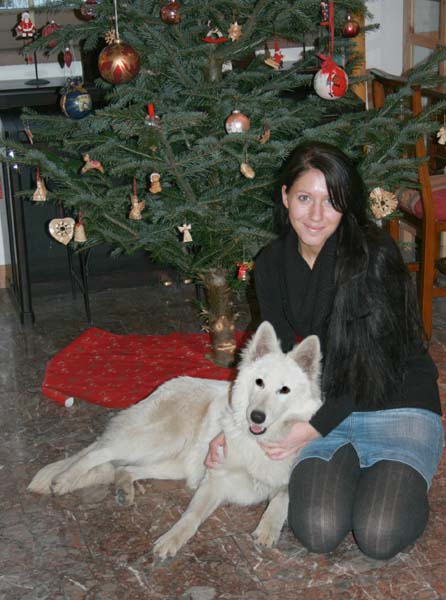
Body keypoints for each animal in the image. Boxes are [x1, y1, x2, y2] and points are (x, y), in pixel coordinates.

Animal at [28, 321, 322, 559]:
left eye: (284, 390)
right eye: (259, 382)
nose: (257, 416)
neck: (259, 443)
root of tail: (162, 387)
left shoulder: (283, 478)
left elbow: (283, 496)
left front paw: (268, 528)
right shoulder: (213, 481)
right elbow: (191, 516)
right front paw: (171, 539)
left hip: (174, 464)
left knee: (123, 468)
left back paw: (124, 489)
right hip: (156, 440)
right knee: (98, 452)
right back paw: (64, 479)